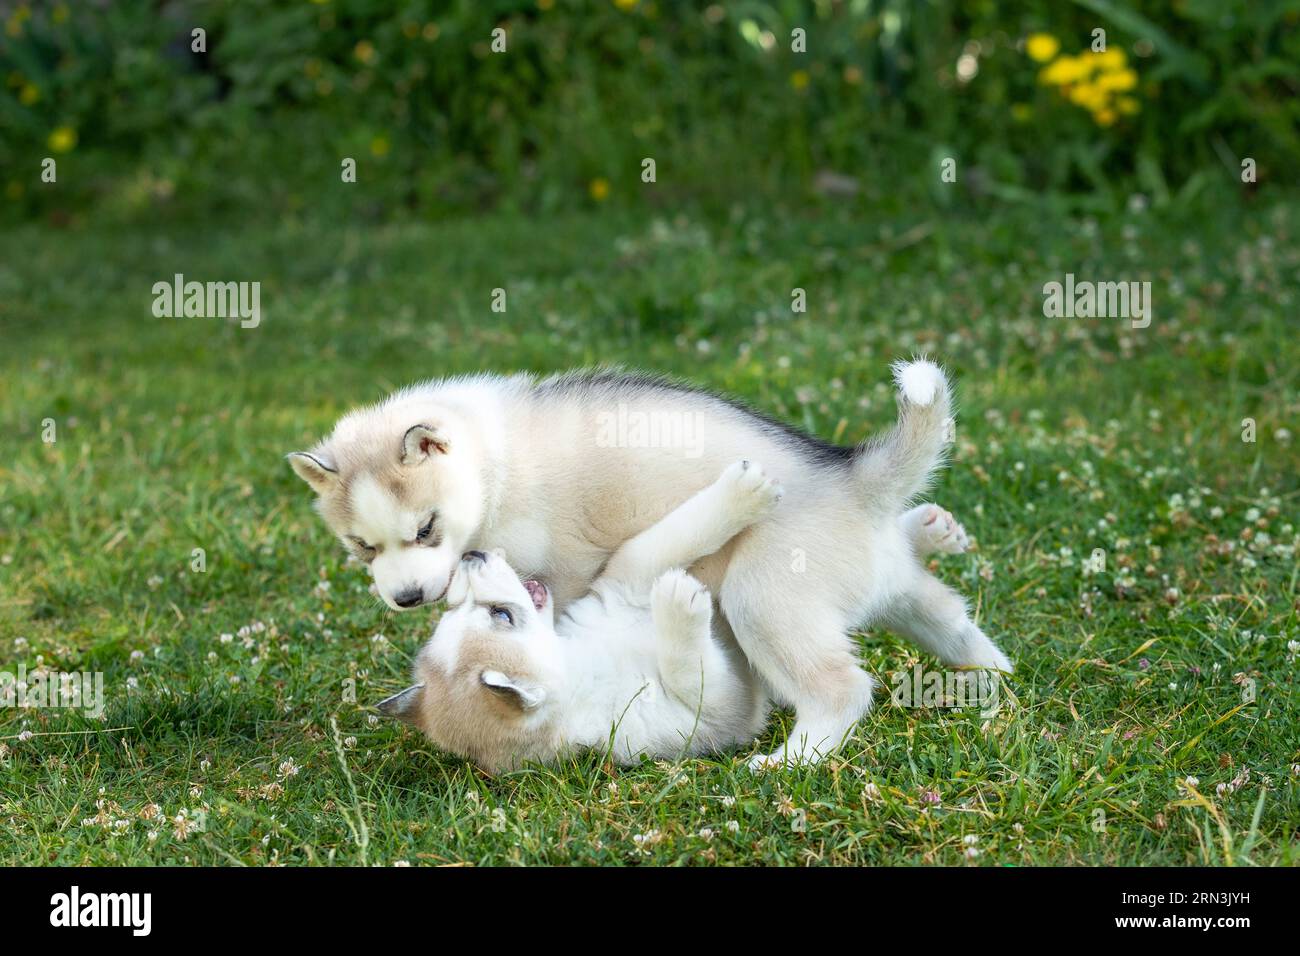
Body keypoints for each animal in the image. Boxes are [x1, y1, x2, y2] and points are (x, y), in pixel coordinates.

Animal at [289, 358, 1008, 770]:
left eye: (426, 528)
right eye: (363, 546)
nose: (407, 598)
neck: (495, 468)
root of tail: (853, 481)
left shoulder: (570, 572)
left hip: (761, 593)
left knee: (840, 687)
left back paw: (788, 758)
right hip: (895, 590)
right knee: (950, 617)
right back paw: (990, 670)